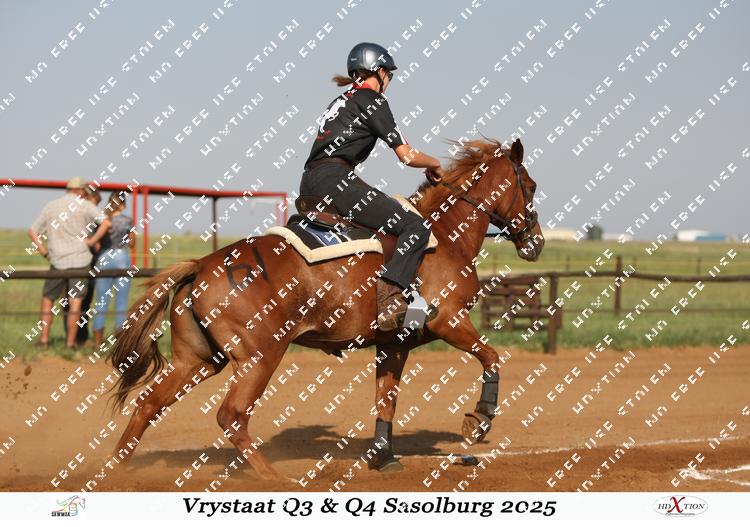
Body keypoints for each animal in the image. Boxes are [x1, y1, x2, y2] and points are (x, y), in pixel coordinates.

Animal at [107, 137, 544, 480]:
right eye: (531, 186)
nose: (536, 242)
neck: (444, 236)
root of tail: (203, 265)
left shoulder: (394, 344)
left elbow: (386, 400)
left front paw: (383, 458)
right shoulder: (450, 322)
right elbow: (491, 357)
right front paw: (479, 419)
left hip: (198, 359)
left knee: (148, 404)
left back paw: (117, 470)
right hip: (260, 356)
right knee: (231, 415)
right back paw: (271, 477)